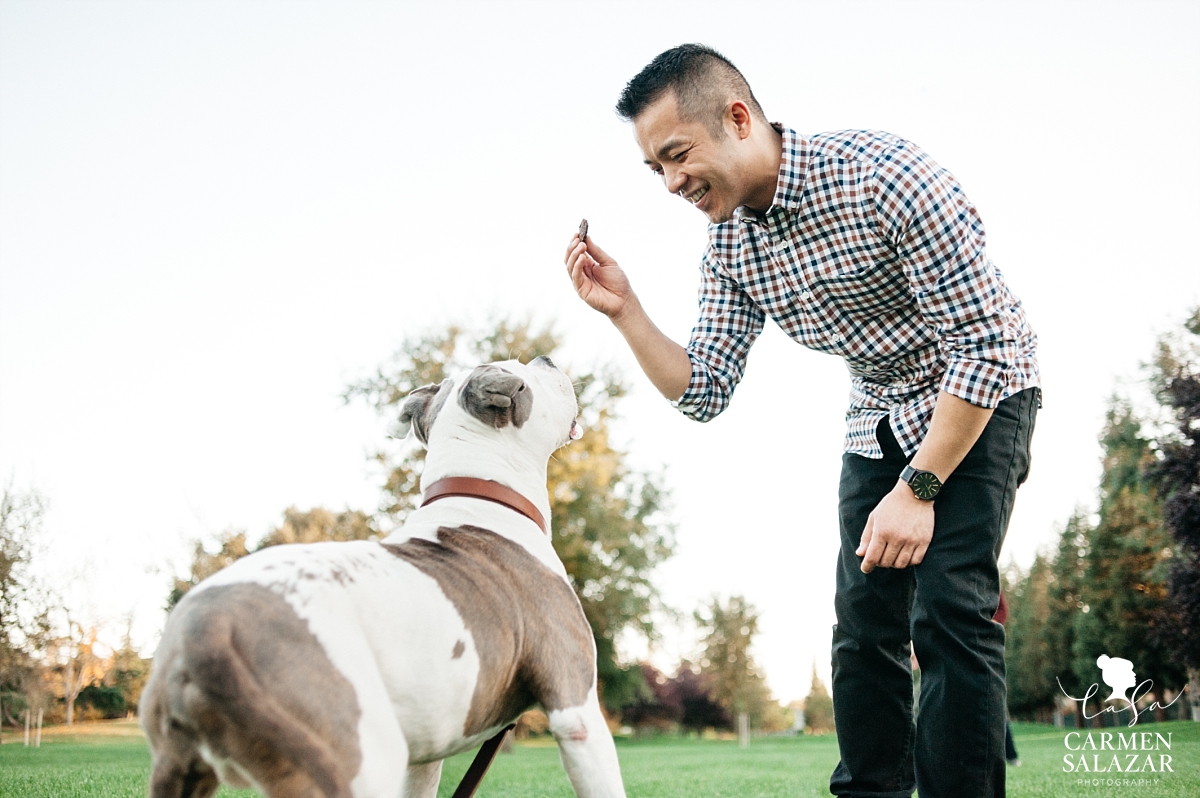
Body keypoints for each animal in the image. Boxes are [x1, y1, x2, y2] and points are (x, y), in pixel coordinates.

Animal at [140, 357, 628, 792]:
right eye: (525, 371)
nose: (547, 358)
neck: (483, 496)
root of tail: (207, 630)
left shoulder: (426, 754)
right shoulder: (576, 712)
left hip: (181, 767)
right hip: (358, 757)